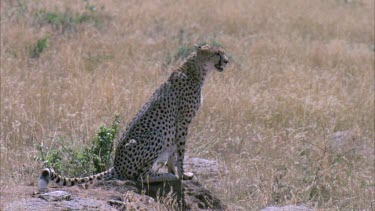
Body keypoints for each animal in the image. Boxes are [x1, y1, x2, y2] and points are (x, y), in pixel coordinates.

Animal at [39, 42, 231, 188]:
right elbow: (180, 152)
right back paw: (163, 176)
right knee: (140, 177)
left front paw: (175, 172)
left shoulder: (178, 126)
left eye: (222, 52)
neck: (195, 70)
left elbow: (173, 153)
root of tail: (116, 165)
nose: (227, 61)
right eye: (217, 53)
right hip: (156, 135)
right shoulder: (183, 122)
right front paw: (181, 175)